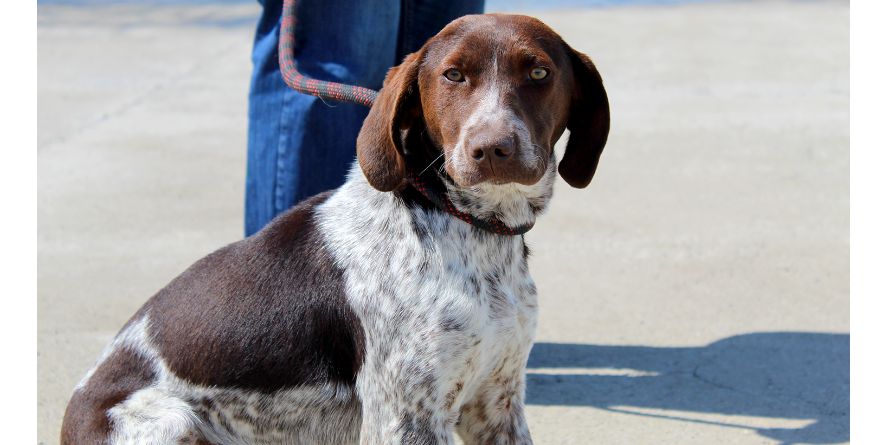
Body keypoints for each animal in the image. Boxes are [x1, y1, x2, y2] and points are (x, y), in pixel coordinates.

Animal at [60, 12, 612, 442]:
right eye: (453, 75)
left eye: (538, 71)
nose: (492, 148)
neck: (469, 229)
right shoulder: (405, 419)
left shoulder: (496, 402)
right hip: (173, 421)